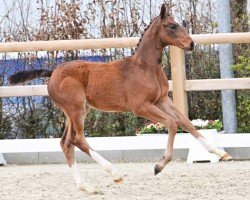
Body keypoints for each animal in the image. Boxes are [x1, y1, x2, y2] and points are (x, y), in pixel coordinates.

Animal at [9, 4, 232, 194]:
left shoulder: (162, 100)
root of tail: (53, 72)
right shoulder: (141, 107)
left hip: (74, 112)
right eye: (172, 26)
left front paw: (220, 153)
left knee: (66, 143)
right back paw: (115, 174)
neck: (145, 68)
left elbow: (186, 122)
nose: (192, 44)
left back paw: (87, 187)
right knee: (78, 139)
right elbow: (172, 123)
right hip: (76, 109)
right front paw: (159, 166)